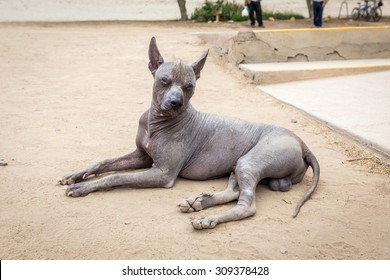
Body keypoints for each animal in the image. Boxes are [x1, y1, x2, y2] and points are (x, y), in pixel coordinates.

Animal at [59, 36, 318, 230]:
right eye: (164, 80)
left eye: (189, 86)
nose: (176, 102)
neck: (157, 123)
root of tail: (303, 144)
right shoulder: (141, 156)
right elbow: (103, 163)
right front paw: (76, 175)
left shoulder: (162, 173)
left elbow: (116, 177)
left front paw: (82, 188)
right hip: (239, 164)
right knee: (233, 191)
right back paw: (199, 202)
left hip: (251, 162)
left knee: (247, 205)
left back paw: (207, 218)